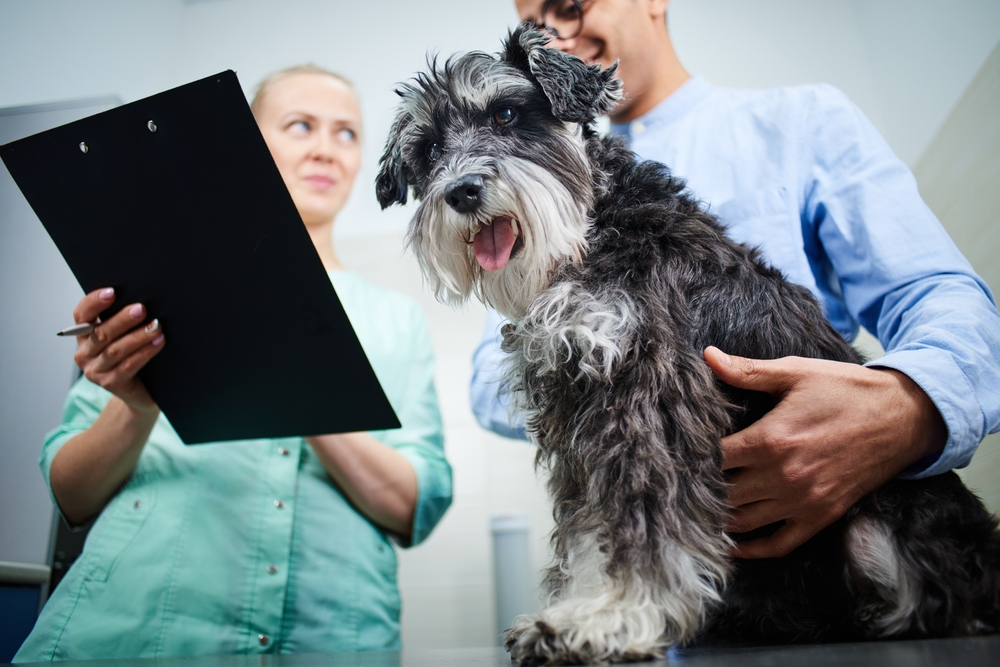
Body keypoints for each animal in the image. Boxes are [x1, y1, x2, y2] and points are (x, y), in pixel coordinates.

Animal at [376, 23, 1000, 667]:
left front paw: (609, 617)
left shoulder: (648, 388)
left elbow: (642, 511)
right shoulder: (577, 408)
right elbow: (590, 525)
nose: (462, 191)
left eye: (505, 113)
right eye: (428, 152)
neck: (596, 222)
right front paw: (582, 607)